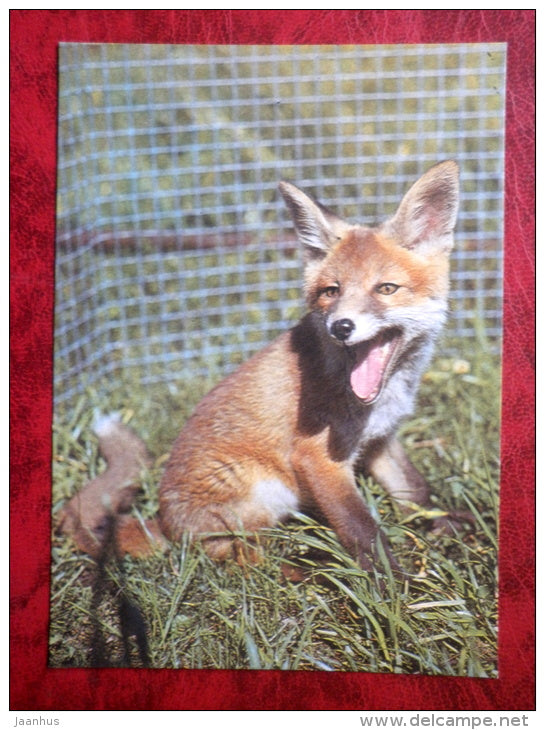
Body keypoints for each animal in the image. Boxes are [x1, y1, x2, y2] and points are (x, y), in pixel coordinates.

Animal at [60, 161, 462, 577]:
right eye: (331, 291)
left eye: (386, 288)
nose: (341, 327)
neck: (382, 394)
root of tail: (167, 525)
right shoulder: (319, 458)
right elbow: (363, 530)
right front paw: (398, 589)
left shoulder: (379, 440)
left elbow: (417, 492)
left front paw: (445, 533)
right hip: (264, 493)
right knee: (246, 558)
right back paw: (304, 573)